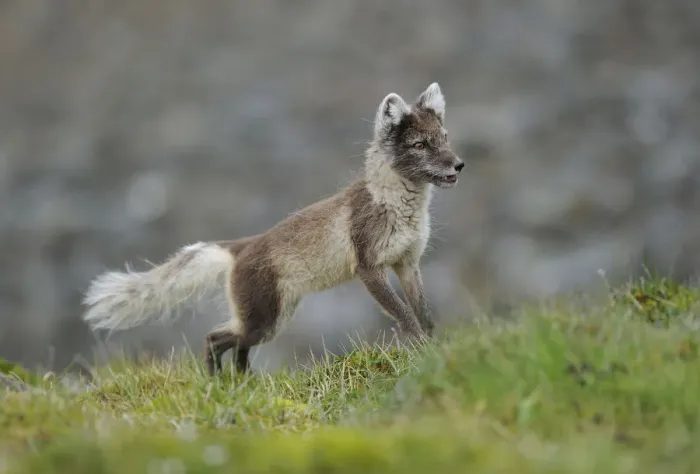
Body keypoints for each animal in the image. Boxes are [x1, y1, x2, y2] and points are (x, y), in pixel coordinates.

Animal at [82, 82, 464, 375]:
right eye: (420, 145)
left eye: (444, 138)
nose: (459, 164)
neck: (397, 206)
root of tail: (241, 246)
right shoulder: (369, 268)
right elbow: (405, 316)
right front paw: (423, 351)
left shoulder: (408, 263)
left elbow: (424, 313)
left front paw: (436, 347)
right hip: (263, 320)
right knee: (214, 338)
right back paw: (216, 383)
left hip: (273, 319)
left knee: (236, 348)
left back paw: (244, 384)